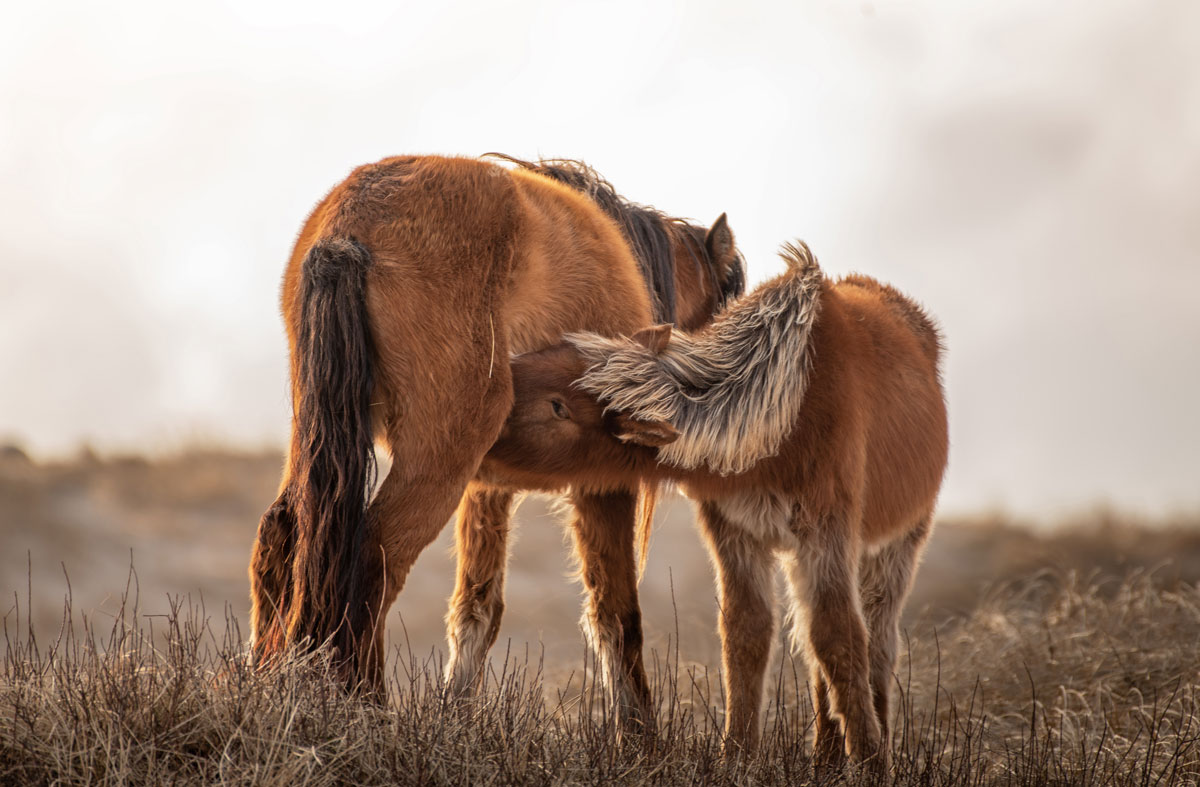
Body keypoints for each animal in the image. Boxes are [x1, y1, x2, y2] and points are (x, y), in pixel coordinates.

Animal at [248, 152, 744, 724]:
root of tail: (347, 230)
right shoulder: (604, 483)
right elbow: (617, 616)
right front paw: (638, 733)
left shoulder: (487, 486)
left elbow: (477, 610)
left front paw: (455, 715)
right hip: (438, 461)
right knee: (375, 553)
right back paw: (366, 705)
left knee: (283, 534)